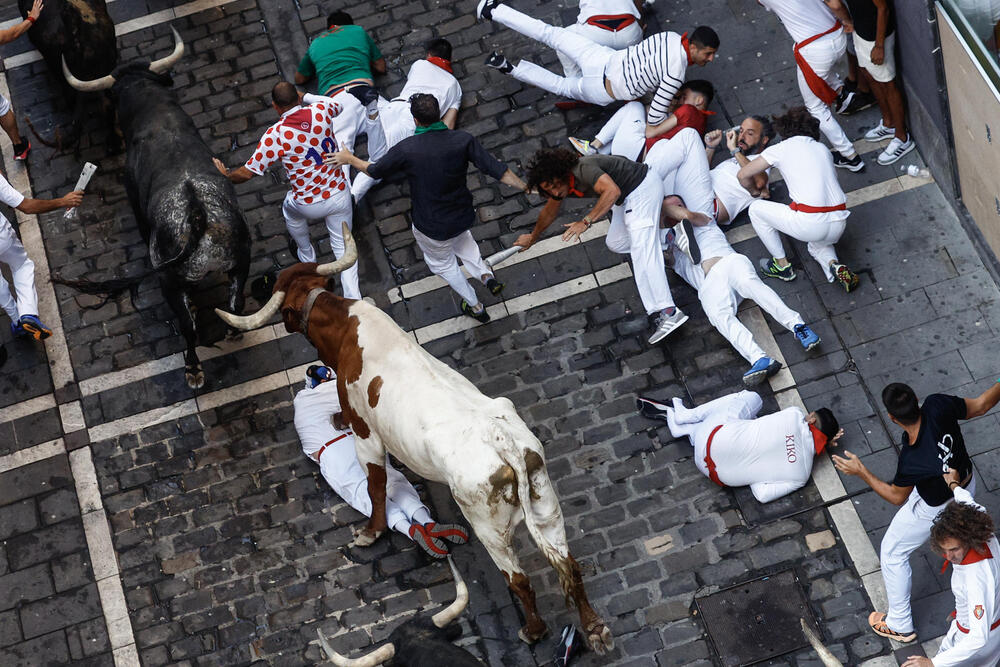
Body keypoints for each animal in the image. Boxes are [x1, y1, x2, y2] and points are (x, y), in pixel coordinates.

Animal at [53, 32, 250, 392]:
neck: (156, 114)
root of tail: (198, 214)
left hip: (170, 283)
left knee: (188, 327)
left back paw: (193, 370)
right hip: (240, 261)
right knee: (235, 304)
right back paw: (232, 332)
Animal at [216, 227, 612, 656]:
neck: (347, 330)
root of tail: (502, 442)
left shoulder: (366, 435)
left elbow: (375, 486)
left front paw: (370, 533)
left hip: (489, 526)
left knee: (518, 579)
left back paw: (533, 631)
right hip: (546, 506)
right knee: (569, 565)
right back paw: (595, 629)